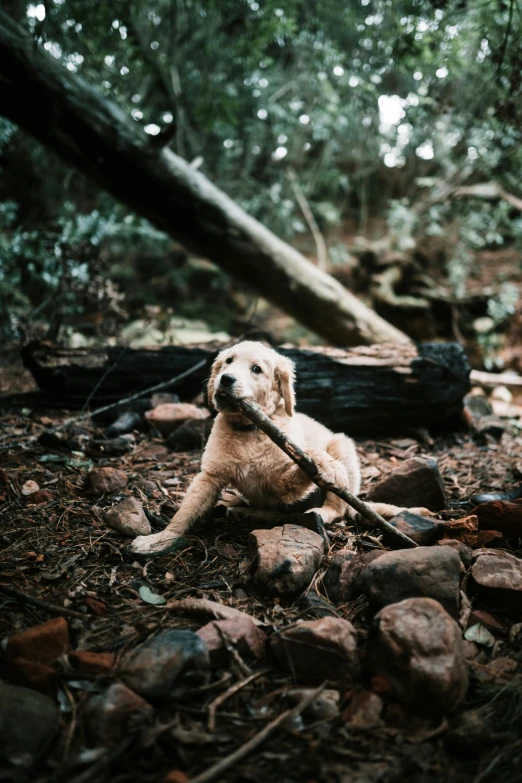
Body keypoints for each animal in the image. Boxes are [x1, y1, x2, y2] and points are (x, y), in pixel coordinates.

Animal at [131, 340, 402, 556]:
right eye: (228, 361)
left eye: (256, 369)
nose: (225, 379)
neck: (249, 430)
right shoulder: (209, 476)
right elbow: (185, 510)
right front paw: (161, 538)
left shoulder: (281, 486)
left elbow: (306, 457)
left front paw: (326, 464)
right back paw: (239, 507)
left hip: (341, 444)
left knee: (339, 508)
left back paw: (318, 511)